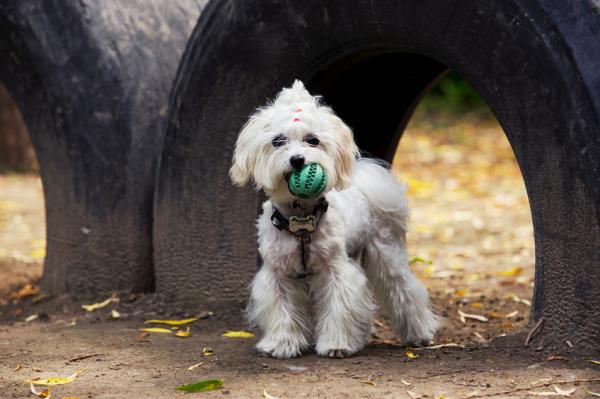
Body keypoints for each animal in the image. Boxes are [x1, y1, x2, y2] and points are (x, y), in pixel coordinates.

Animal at [227, 80, 438, 360]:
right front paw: (282, 344)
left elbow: (339, 307)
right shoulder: (277, 274)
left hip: (386, 253)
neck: (300, 219)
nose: (297, 160)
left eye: (313, 140)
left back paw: (420, 333)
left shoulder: (336, 271)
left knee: (404, 290)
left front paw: (337, 344)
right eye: (278, 141)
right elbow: (282, 309)